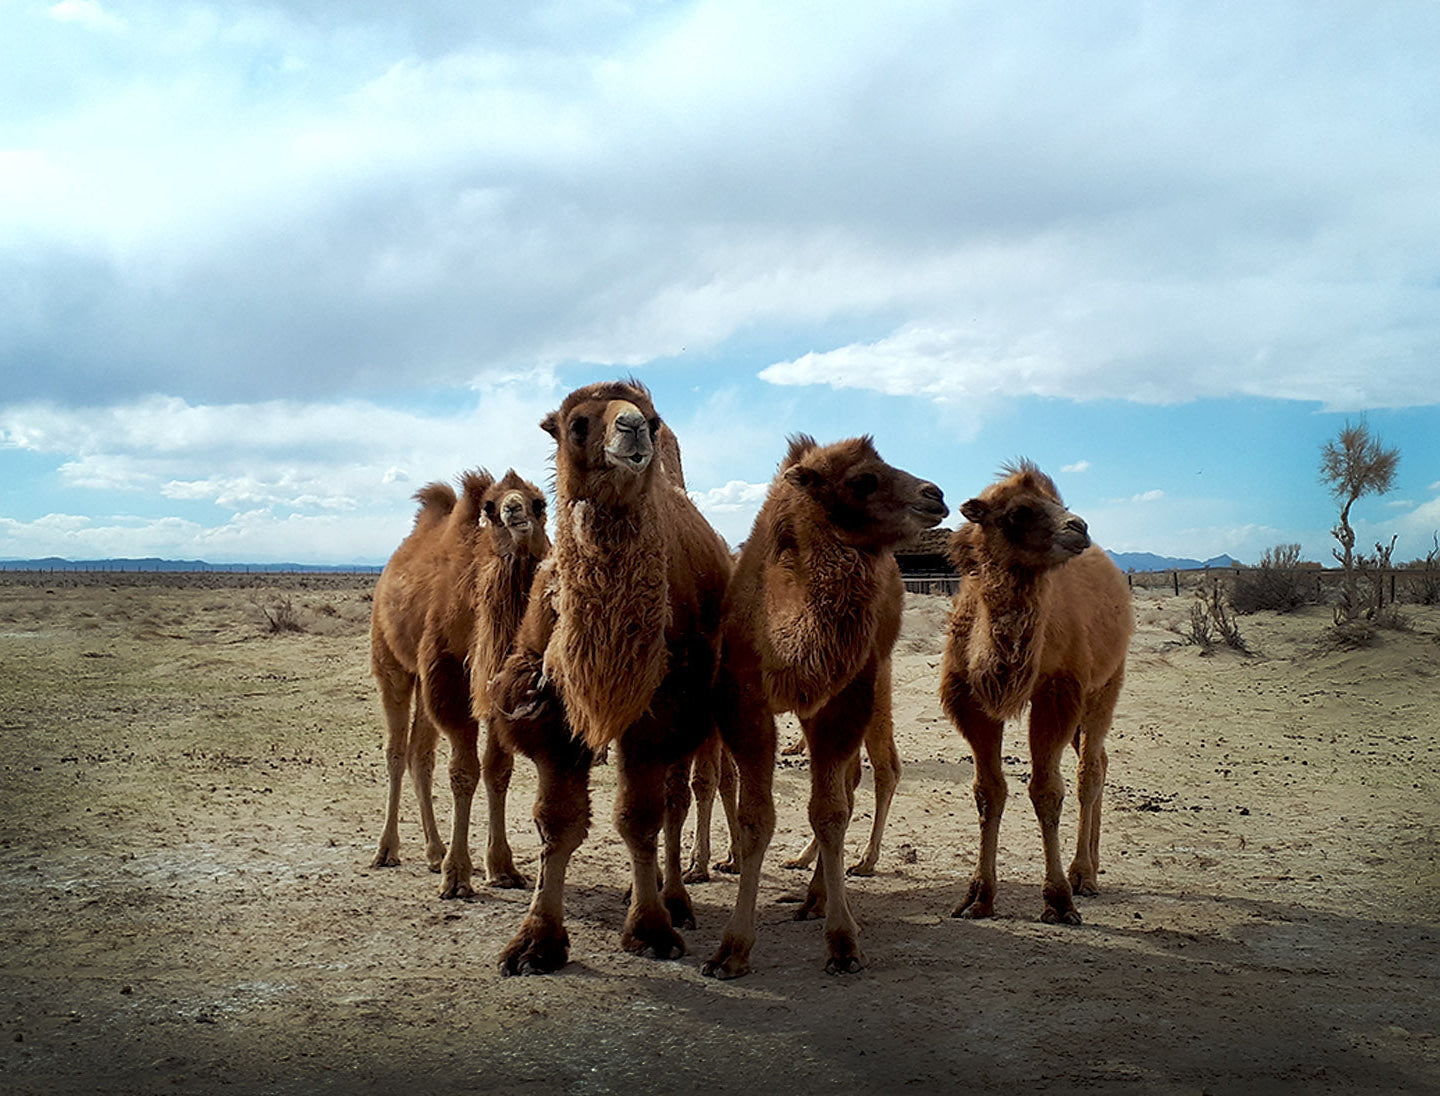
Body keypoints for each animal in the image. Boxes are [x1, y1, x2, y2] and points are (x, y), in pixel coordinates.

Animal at [369, 468, 550, 899]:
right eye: (491, 507)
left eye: (541, 502)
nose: (514, 510)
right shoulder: (449, 674)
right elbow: (464, 771)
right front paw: (457, 875)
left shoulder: (501, 688)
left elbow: (498, 769)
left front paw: (502, 867)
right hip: (393, 665)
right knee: (397, 750)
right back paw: (387, 850)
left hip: (422, 679)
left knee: (420, 754)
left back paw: (434, 852)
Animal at [489, 381, 764, 976]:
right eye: (577, 424)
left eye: (653, 421)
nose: (633, 427)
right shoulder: (550, 708)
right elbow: (557, 822)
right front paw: (536, 941)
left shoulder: (661, 713)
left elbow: (639, 818)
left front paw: (652, 929)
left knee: (678, 800)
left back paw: (675, 896)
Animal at [704, 435, 947, 977]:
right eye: (863, 479)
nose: (936, 494)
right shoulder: (744, 702)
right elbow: (756, 819)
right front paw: (731, 949)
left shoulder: (841, 698)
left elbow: (831, 811)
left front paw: (843, 941)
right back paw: (809, 883)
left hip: (876, 679)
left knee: (865, 777)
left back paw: (823, 891)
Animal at [938, 459, 1132, 925]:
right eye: (1019, 512)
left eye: (1059, 502)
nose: (1079, 526)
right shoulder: (971, 701)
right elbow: (988, 792)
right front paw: (978, 897)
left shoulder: (1057, 690)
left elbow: (1046, 791)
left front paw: (1058, 900)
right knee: (1099, 760)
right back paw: (1091, 865)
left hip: (1106, 681)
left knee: (1088, 770)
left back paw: (1083, 876)